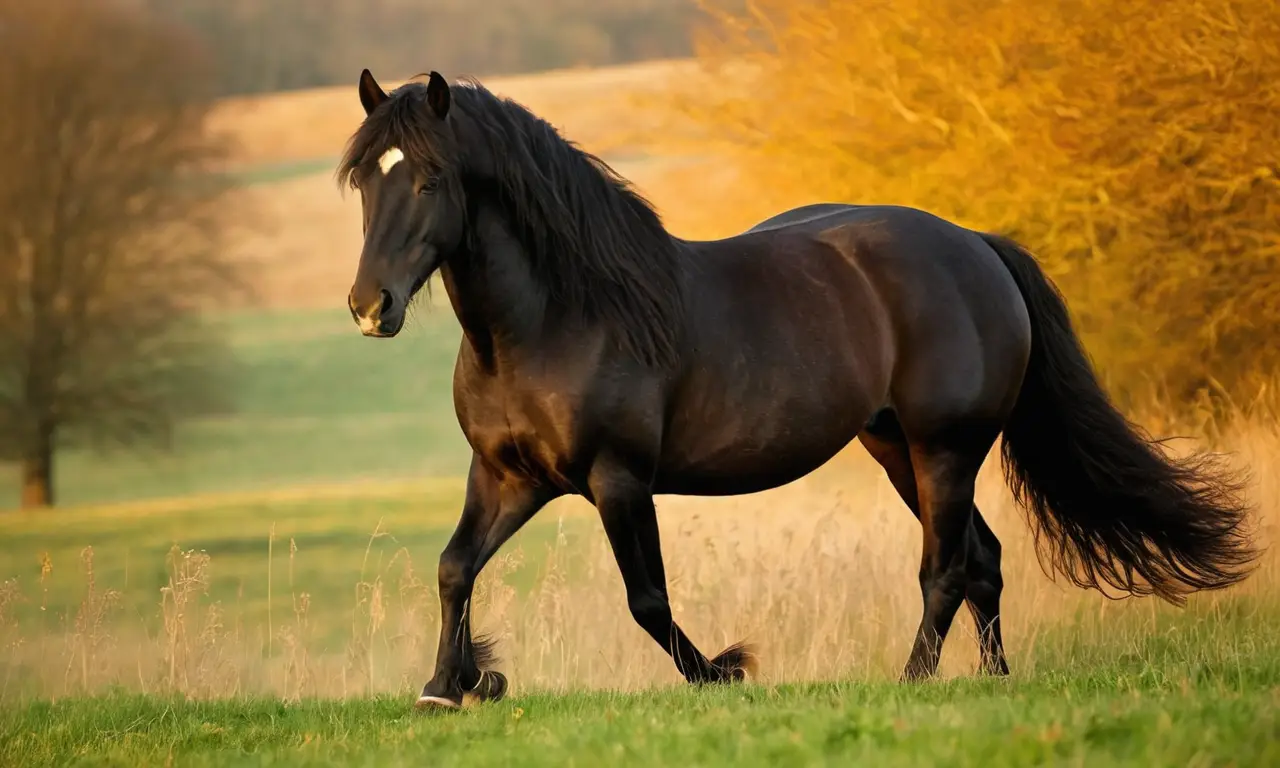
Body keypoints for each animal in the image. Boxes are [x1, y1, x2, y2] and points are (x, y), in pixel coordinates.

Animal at [337, 69, 1258, 710]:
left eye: (428, 179)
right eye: (366, 180)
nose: (368, 307)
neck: (558, 316)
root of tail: (975, 244)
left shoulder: (618, 479)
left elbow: (647, 600)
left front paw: (724, 672)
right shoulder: (508, 477)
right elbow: (455, 568)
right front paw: (452, 684)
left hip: (946, 449)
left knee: (946, 571)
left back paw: (912, 681)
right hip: (897, 450)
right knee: (985, 562)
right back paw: (995, 679)